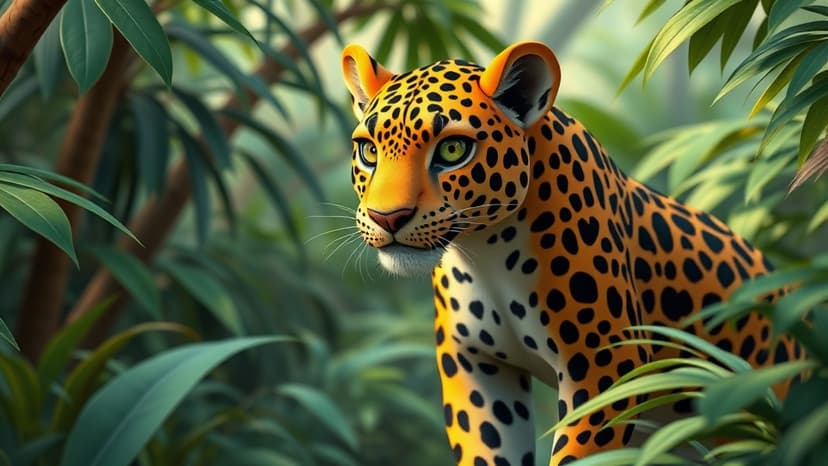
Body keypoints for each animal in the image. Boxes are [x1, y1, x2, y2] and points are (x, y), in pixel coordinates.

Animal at [340, 41, 801, 465]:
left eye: (453, 150)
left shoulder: (606, 363)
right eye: (369, 150)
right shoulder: (476, 366)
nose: (387, 217)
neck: (485, 252)